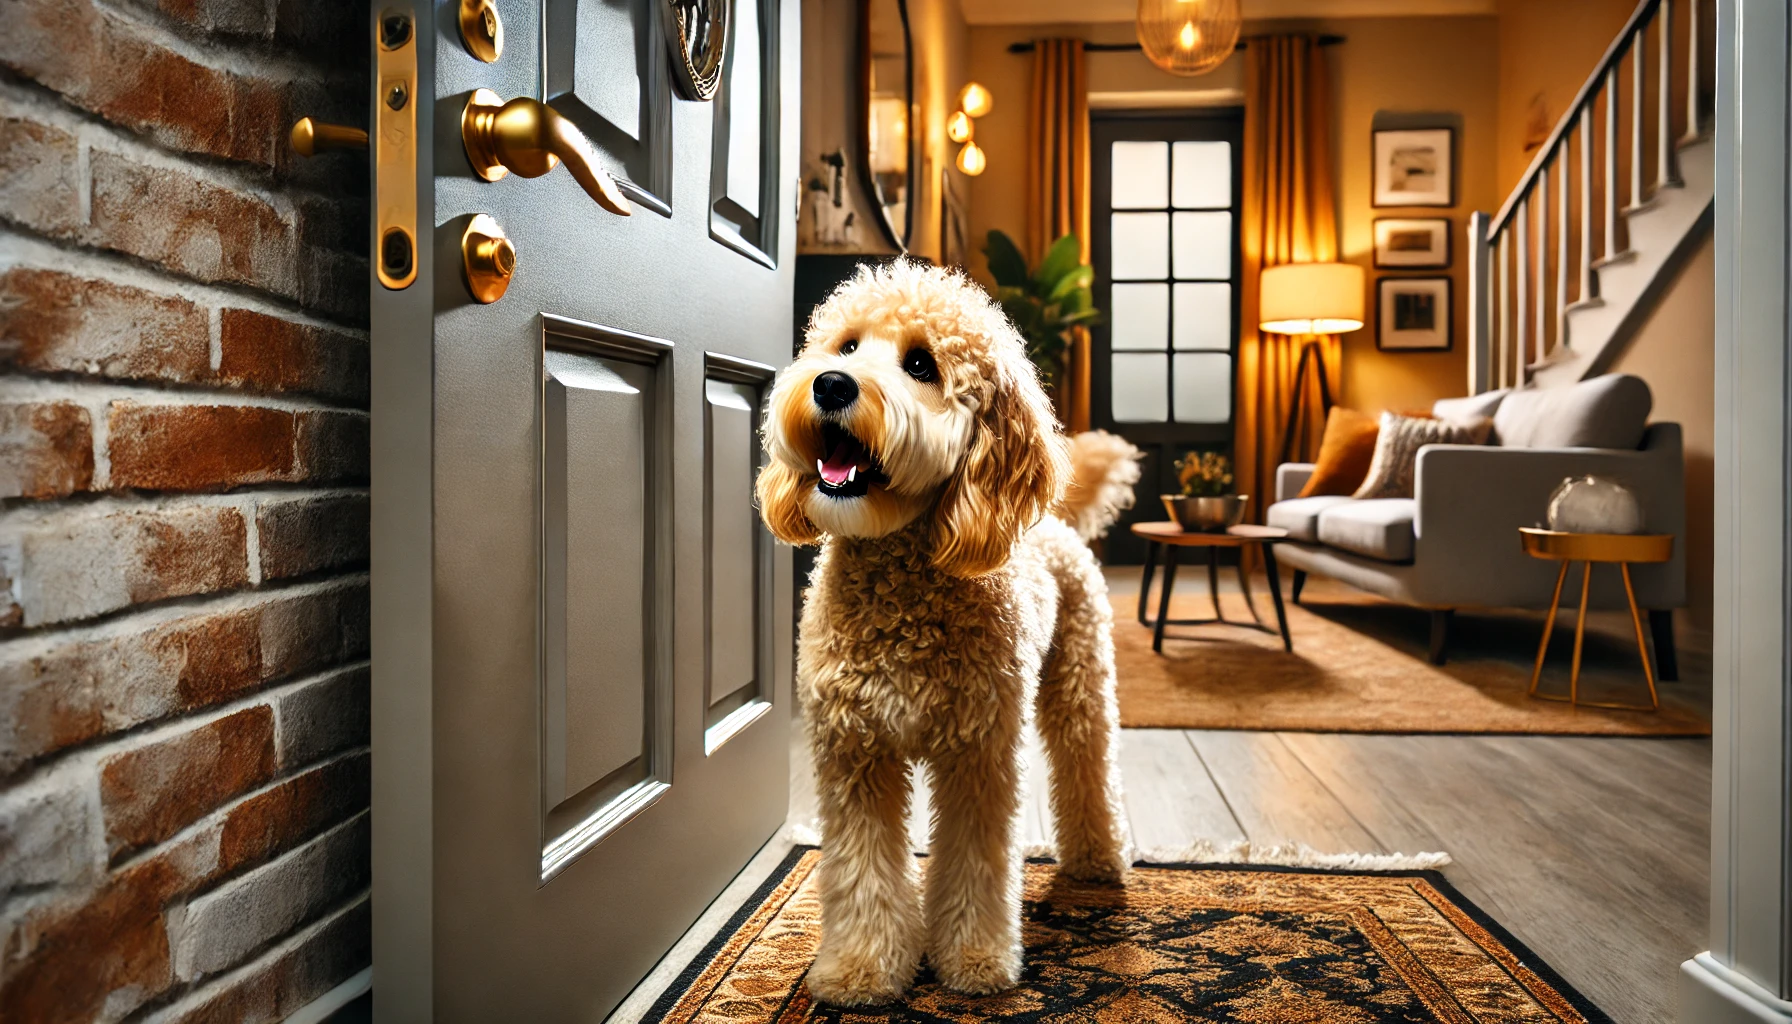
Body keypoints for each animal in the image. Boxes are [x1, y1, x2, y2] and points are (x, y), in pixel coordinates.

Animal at [752, 258, 1132, 1011]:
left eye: (921, 364)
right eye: (845, 346)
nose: (831, 384)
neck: (901, 584)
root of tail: (1054, 520)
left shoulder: (980, 753)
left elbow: (976, 863)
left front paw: (975, 961)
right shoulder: (854, 754)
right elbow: (863, 871)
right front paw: (862, 970)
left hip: (1080, 684)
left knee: (1088, 765)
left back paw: (1097, 861)